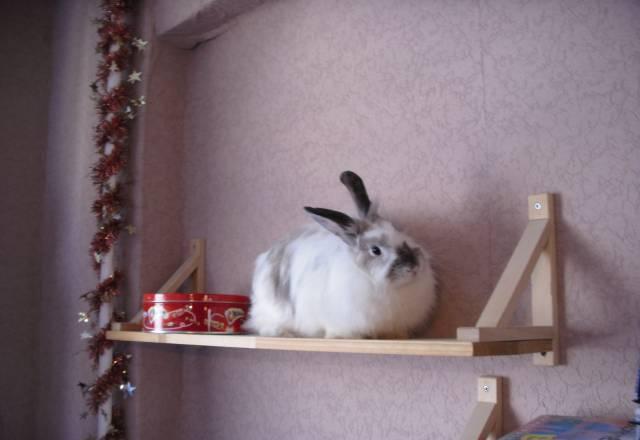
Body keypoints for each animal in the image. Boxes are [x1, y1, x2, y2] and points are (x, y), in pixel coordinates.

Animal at [245, 171, 436, 339]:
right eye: (375, 250)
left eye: (396, 229)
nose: (413, 266)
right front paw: (343, 337)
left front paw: (397, 336)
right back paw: (282, 332)